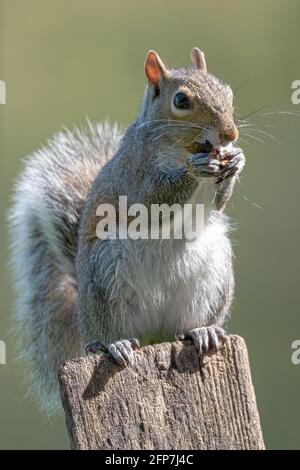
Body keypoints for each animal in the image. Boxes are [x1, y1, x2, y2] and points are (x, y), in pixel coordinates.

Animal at [9, 47, 246, 414]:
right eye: (181, 100)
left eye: (228, 91)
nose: (230, 134)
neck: (184, 148)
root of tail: (154, 334)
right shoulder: (134, 176)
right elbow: (151, 202)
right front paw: (195, 169)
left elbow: (218, 205)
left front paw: (236, 160)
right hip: (105, 272)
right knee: (106, 334)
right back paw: (114, 344)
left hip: (214, 272)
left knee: (186, 327)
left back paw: (203, 331)